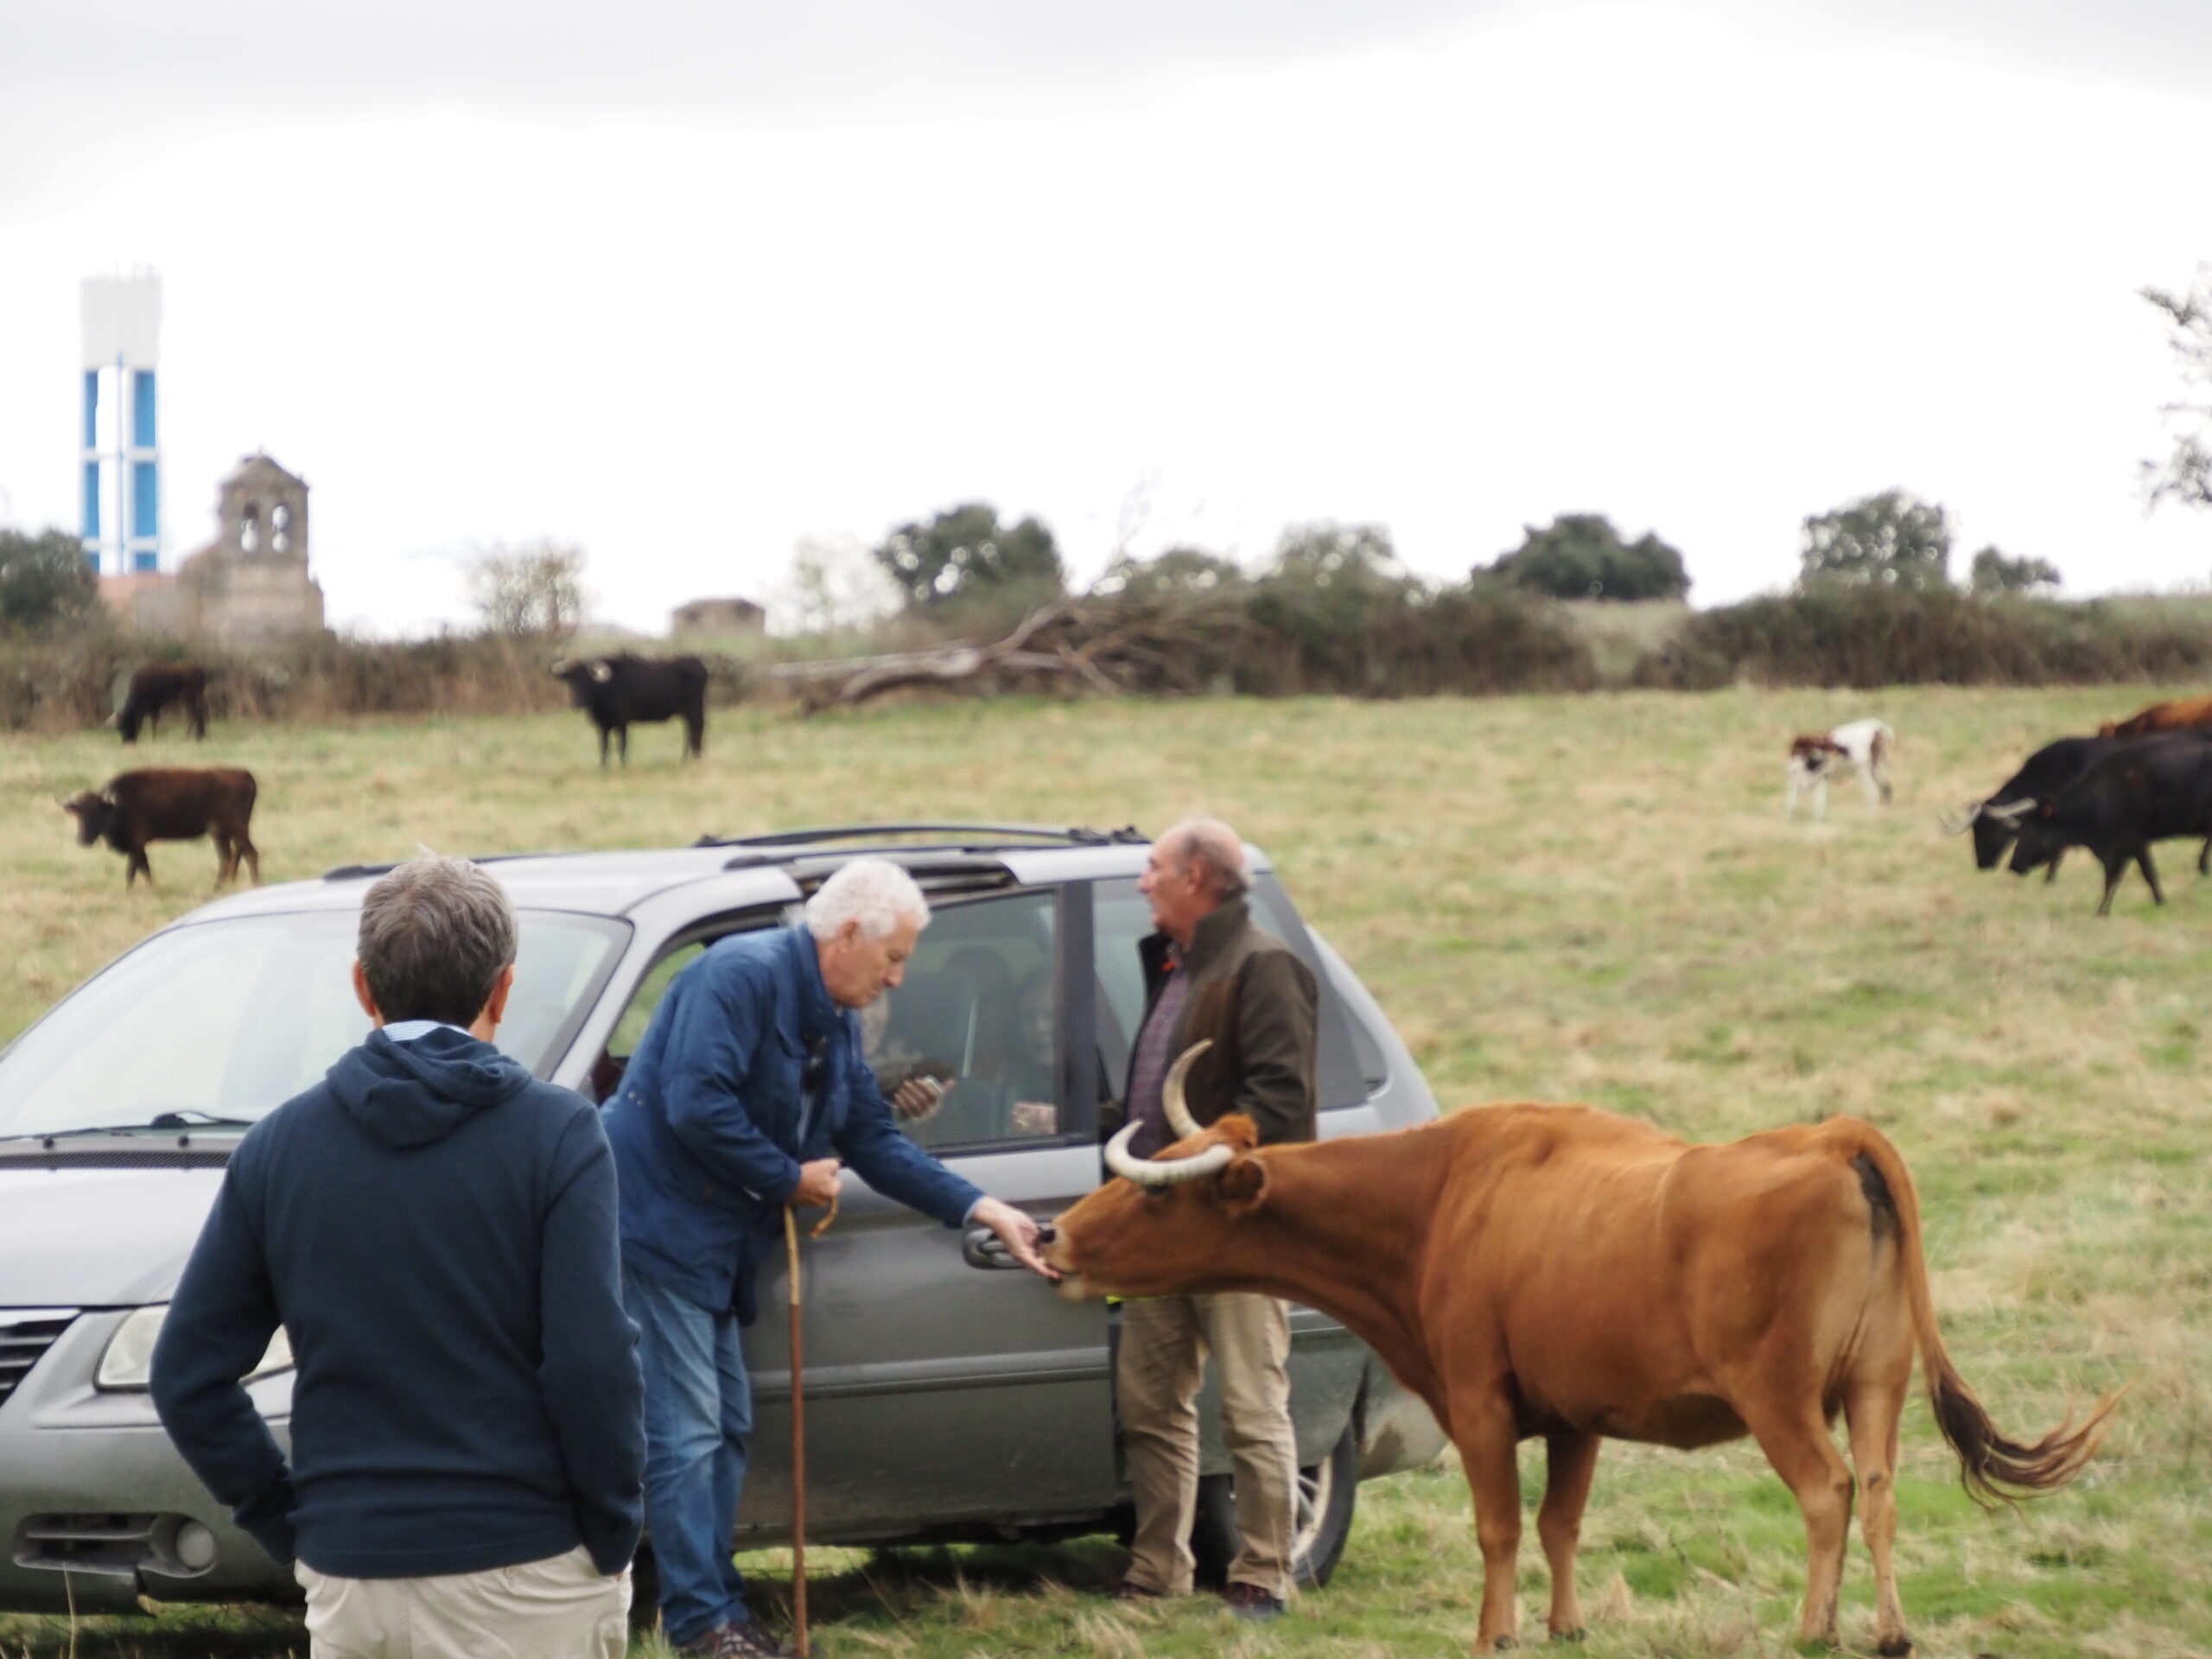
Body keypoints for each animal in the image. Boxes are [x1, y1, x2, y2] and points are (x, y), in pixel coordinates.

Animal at [57, 769, 258, 898]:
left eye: (97, 812)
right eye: (78, 813)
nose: (83, 840)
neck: (117, 805)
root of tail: (243, 773)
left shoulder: (137, 844)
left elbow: (133, 871)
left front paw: (130, 892)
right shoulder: (139, 847)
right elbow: (144, 869)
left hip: (235, 830)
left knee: (249, 854)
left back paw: (253, 884)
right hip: (220, 834)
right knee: (228, 858)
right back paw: (217, 889)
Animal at [548, 654, 703, 774]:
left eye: (588, 679)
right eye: (571, 680)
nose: (577, 702)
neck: (607, 689)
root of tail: (697, 663)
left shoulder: (622, 723)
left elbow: (622, 745)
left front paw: (623, 766)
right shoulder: (603, 726)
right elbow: (604, 746)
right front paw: (603, 767)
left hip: (694, 710)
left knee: (696, 731)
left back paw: (693, 759)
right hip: (686, 713)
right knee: (690, 733)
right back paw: (685, 759)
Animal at [1052, 1044, 2123, 1654]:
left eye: (1155, 1196)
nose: (1054, 1235)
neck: (1443, 1195)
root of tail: (1830, 1138)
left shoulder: (1481, 1405)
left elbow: (1499, 1527)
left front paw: (1496, 1632)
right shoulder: (1577, 1419)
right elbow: (1561, 1521)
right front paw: (1565, 1625)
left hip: (1780, 1399)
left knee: (1828, 1492)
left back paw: (1814, 1628)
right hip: (1875, 1387)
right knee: (1883, 1493)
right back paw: (1890, 1632)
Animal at [2008, 739, 2212, 925]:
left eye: (2034, 830)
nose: (2013, 864)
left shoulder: (2134, 841)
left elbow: (2146, 874)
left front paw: (2160, 901)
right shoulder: (2117, 851)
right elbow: (2112, 880)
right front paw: (2102, 912)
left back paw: (2202, 866)